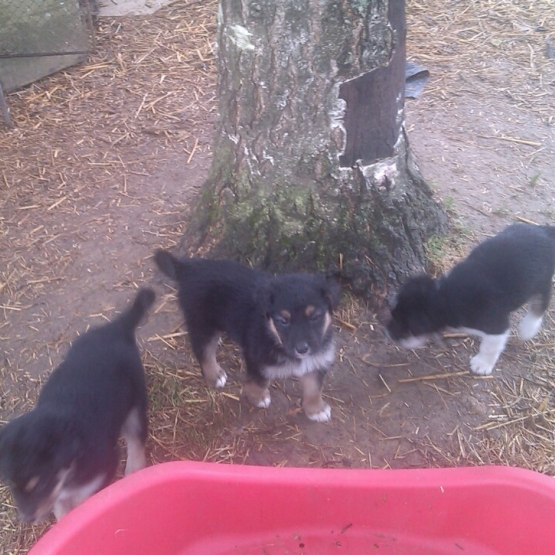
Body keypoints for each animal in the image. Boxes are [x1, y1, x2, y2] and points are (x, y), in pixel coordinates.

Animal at [0, 288, 155, 524]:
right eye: (11, 484)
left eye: (41, 483)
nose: (27, 519)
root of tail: (115, 328)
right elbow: (61, 506)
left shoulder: (106, 462)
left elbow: (84, 498)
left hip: (135, 402)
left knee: (136, 439)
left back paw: (134, 472)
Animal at [154, 250, 340, 424]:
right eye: (283, 321)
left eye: (315, 317)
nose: (302, 349)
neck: (273, 335)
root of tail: (189, 268)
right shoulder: (256, 358)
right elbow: (259, 381)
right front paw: (258, 398)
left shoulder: (317, 359)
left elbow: (314, 388)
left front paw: (316, 409)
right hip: (202, 322)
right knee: (204, 351)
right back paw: (214, 375)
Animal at [384, 224, 555, 376]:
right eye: (392, 314)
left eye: (409, 327)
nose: (388, 333)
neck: (444, 295)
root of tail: (545, 231)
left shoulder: (496, 325)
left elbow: (490, 347)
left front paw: (482, 365)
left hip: (542, 282)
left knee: (540, 304)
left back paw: (528, 329)